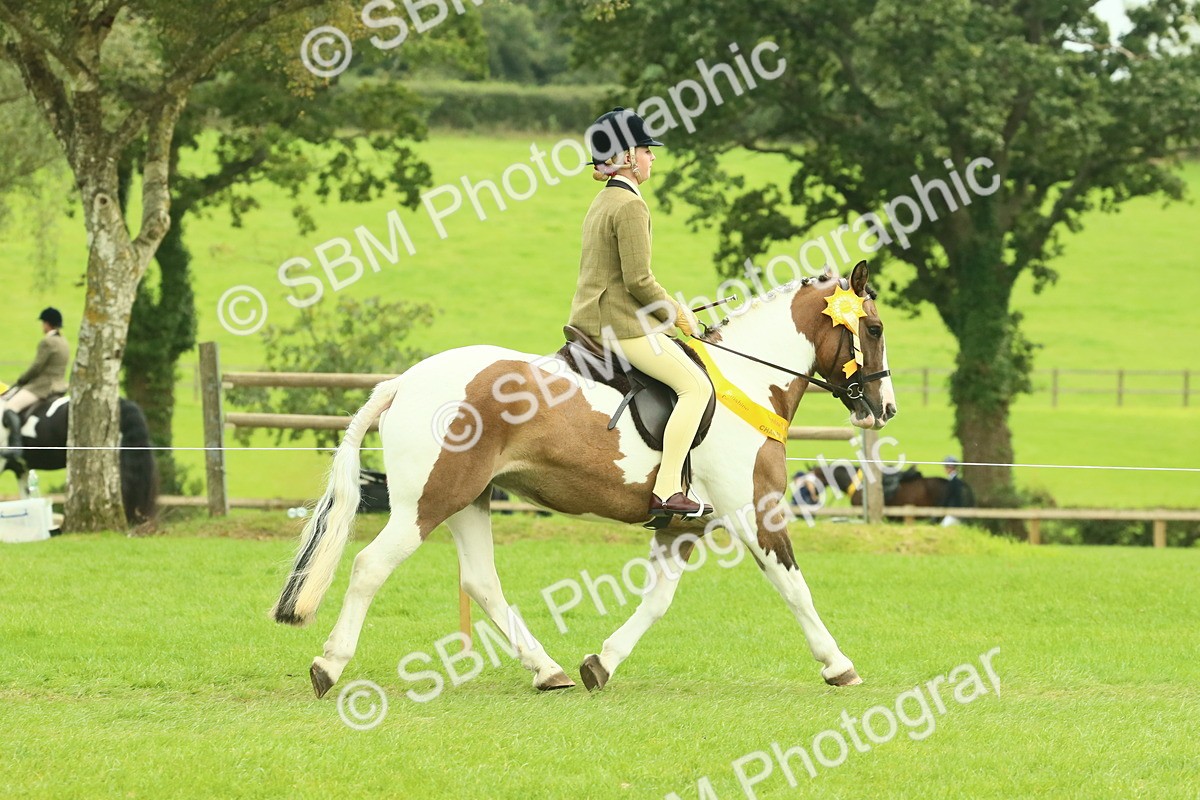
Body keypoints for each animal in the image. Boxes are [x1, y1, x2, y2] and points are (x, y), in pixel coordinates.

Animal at [272, 261, 897, 697]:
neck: (747, 382)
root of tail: (405, 381)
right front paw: (839, 665)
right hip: (427, 502)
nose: (885, 409)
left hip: (470, 499)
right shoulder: (753, 511)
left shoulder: (683, 527)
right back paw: (328, 666)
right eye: (875, 327)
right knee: (370, 566)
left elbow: (657, 601)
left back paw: (548, 671)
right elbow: (794, 587)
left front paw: (601, 663)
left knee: (481, 582)